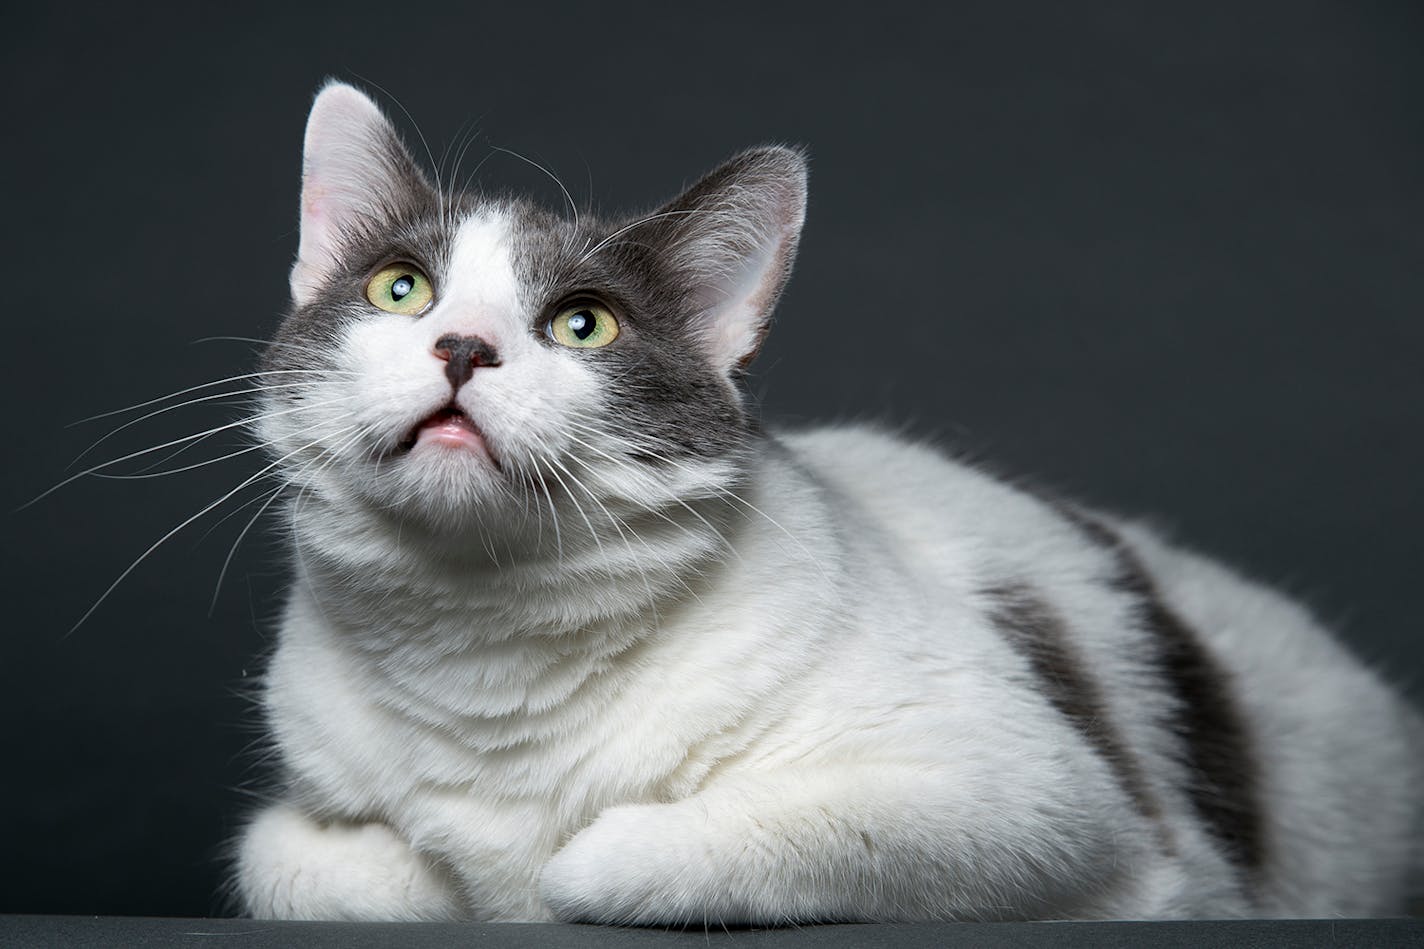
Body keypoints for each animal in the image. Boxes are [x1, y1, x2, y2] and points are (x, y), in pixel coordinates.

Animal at [227, 83, 1418, 923]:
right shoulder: (304, 804)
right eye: (399, 289)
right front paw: (441, 872)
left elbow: (613, 859)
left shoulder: (1034, 795)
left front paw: (546, 867)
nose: (462, 345)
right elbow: (288, 861)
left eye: (583, 324)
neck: (486, 646)